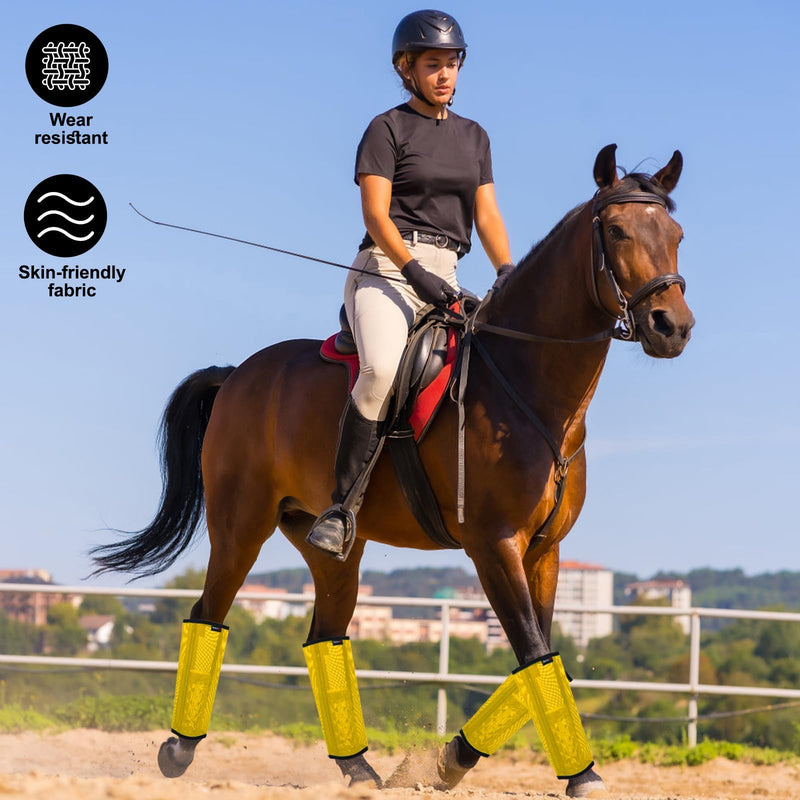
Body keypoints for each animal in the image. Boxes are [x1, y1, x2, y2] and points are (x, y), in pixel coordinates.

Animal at [92, 144, 694, 796]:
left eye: (677, 235)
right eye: (617, 231)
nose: (672, 326)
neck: (527, 390)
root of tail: (238, 374)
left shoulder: (545, 551)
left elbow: (543, 656)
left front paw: (451, 761)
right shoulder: (493, 545)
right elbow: (534, 652)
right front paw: (578, 773)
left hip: (329, 546)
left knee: (324, 634)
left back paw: (358, 770)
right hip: (240, 526)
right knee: (209, 613)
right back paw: (178, 751)